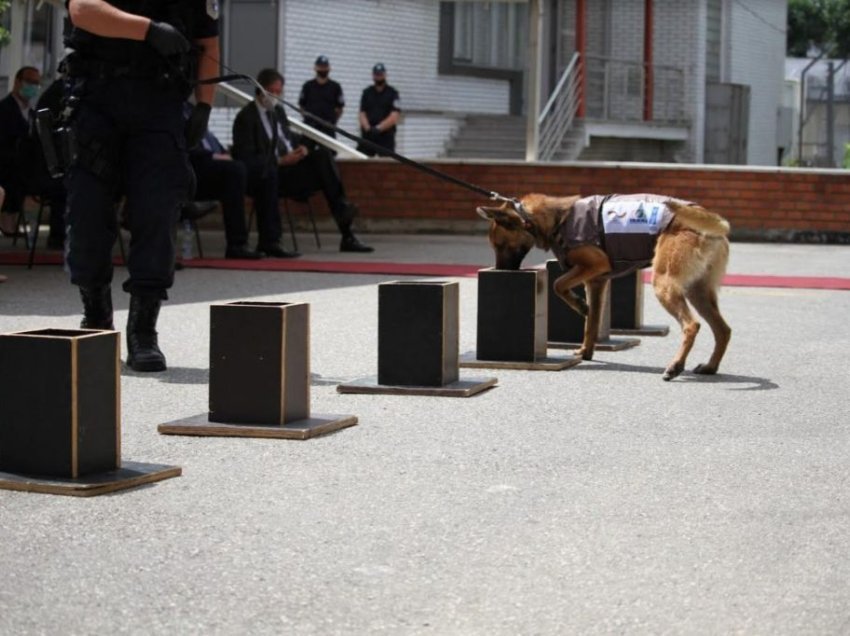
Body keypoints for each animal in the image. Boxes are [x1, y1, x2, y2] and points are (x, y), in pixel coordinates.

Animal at [476, 194, 728, 380]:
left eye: (499, 245)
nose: (500, 271)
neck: (556, 219)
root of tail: (711, 218)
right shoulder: (596, 281)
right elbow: (592, 322)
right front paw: (585, 350)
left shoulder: (594, 265)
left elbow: (558, 284)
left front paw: (579, 305)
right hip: (697, 292)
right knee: (723, 330)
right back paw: (710, 367)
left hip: (664, 284)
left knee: (692, 325)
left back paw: (675, 366)